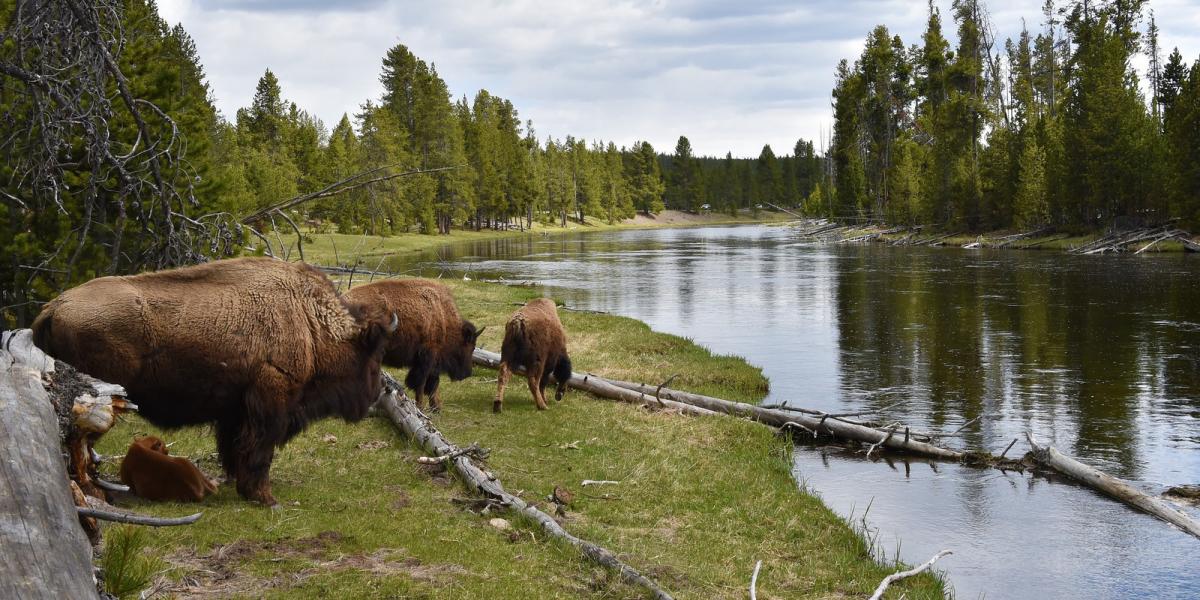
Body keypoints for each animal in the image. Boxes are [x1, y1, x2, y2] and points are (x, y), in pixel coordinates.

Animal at [343, 277, 482, 410]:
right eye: (471, 346)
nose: (467, 374)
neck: (443, 317)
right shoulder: (427, 358)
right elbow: (422, 383)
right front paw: (421, 407)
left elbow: (432, 383)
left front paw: (436, 407)